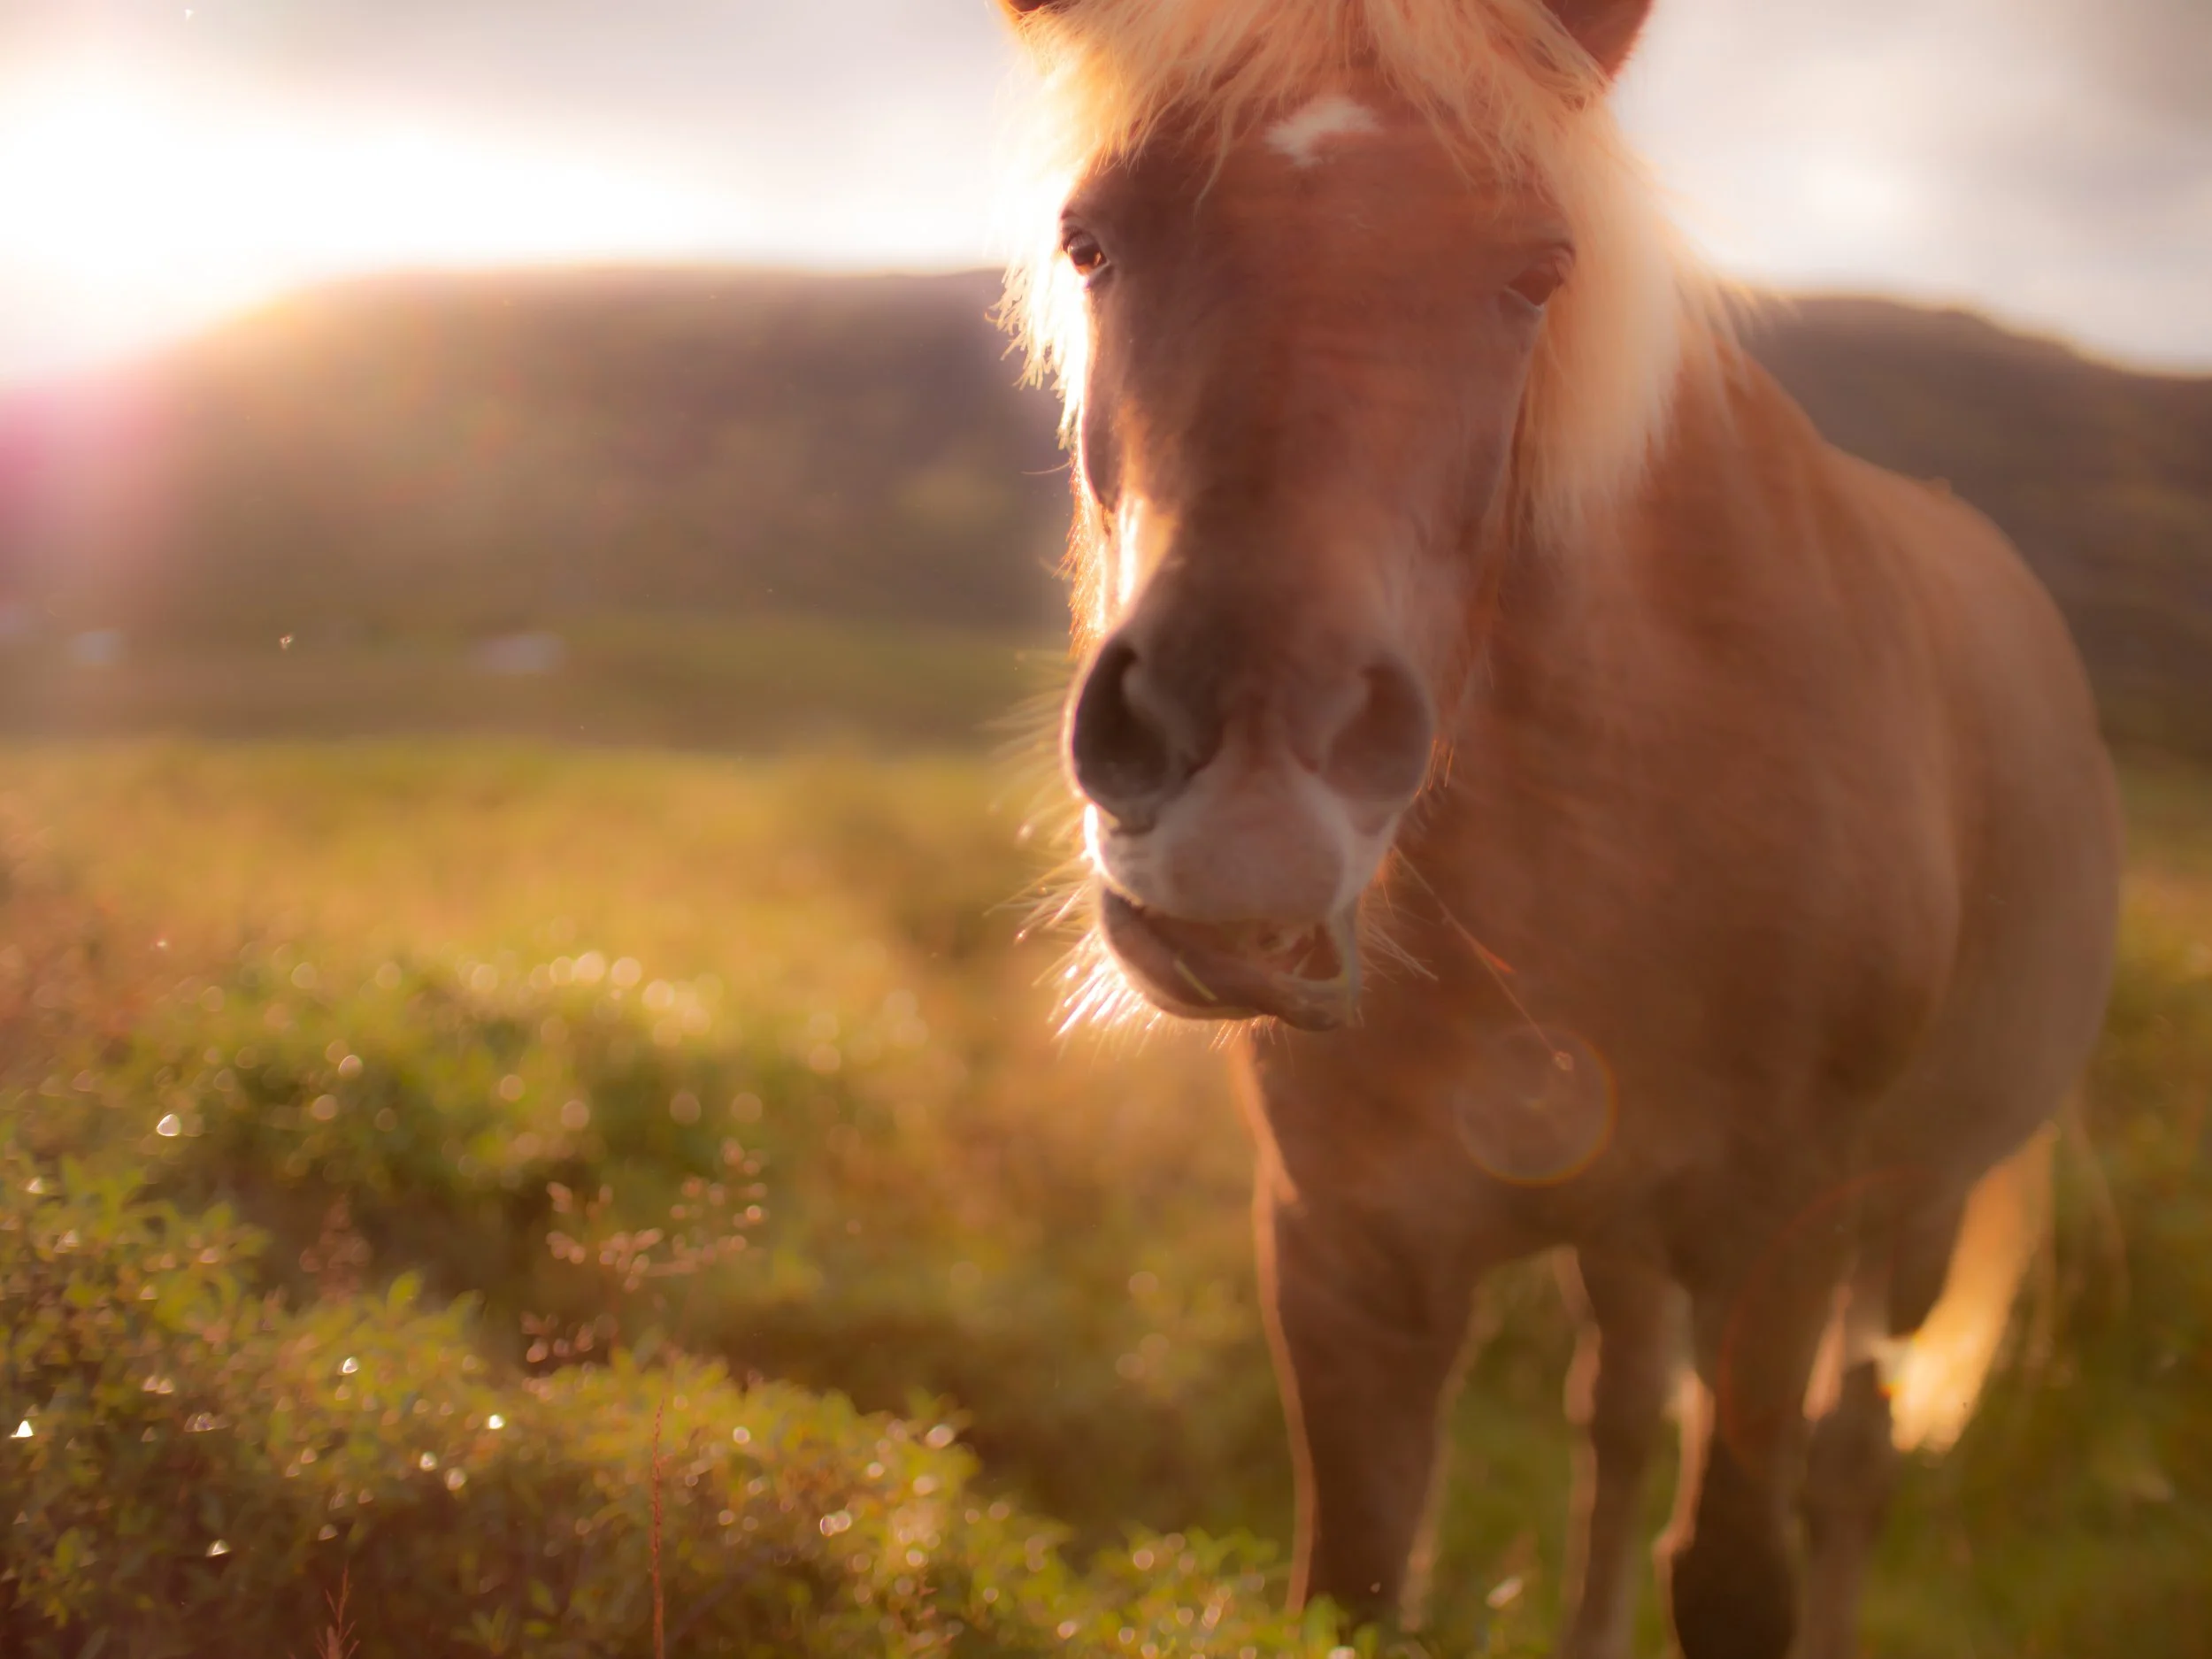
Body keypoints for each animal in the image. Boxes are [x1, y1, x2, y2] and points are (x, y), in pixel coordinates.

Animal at [990, 2, 2122, 1656]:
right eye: (1089, 239)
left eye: (1536, 270)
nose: (1249, 783)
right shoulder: (1350, 1254)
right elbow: (1362, 1578)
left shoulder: (1778, 1240)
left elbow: (1736, 1569)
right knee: (1624, 1419)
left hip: (1910, 1214)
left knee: (1852, 1460)